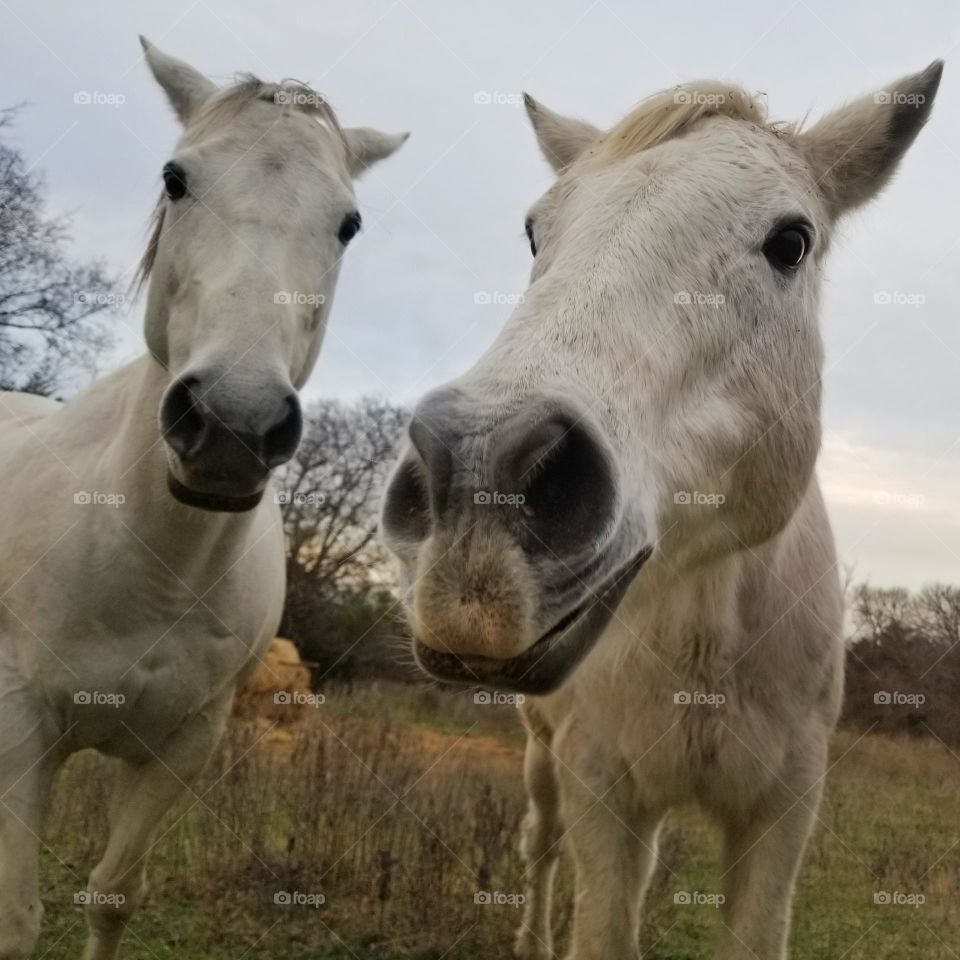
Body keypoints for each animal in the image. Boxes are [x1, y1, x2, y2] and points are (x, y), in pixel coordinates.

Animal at [0, 37, 404, 960]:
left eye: (350, 223)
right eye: (176, 178)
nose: (232, 421)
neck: (149, 561)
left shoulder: (184, 746)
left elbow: (112, 896)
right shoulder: (23, 729)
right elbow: (17, 917)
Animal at [380, 63, 936, 956]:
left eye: (791, 242)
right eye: (535, 232)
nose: (478, 477)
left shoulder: (783, 810)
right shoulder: (600, 789)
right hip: (543, 758)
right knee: (541, 847)